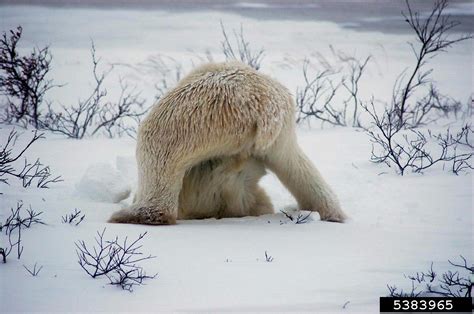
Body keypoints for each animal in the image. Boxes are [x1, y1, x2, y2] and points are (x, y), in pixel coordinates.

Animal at [109, 61, 346, 224]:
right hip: (282, 126)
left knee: (157, 144)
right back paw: (331, 213)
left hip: (200, 116)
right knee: (293, 163)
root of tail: (262, 103)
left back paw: (134, 215)